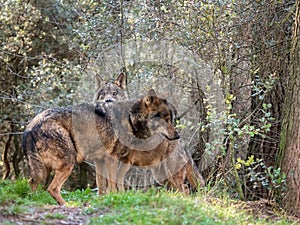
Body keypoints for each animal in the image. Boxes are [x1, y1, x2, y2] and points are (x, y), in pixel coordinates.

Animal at [23, 89, 179, 204]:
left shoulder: (100, 162)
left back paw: (35, 201)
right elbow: (112, 186)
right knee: (53, 188)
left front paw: (101, 201)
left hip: (44, 170)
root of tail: (30, 128)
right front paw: (115, 200)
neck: (130, 118)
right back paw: (67, 206)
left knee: (33, 183)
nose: (178, 136)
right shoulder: (111, 160)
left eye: (170, 120)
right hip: (68, 163)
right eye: (166, 120)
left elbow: (102, 187)